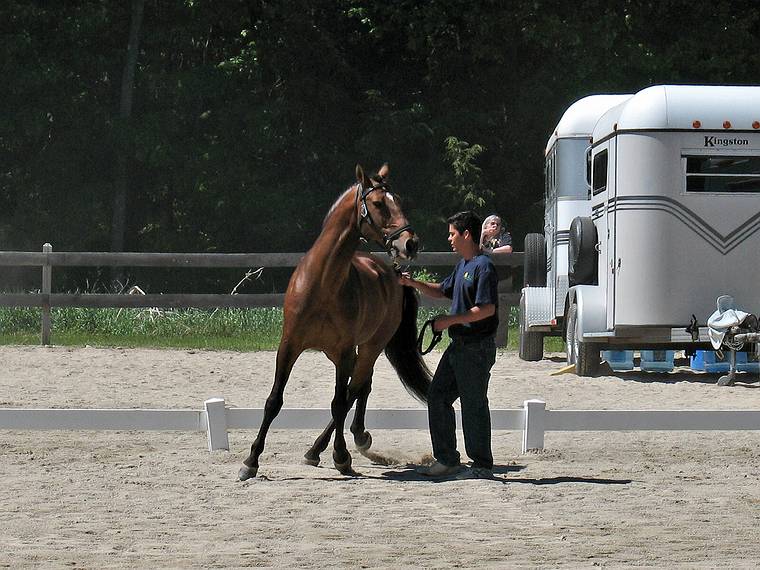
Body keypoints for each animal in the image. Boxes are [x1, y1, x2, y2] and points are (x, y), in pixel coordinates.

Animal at [242, 162, 434, 478]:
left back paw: (332, 445)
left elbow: (339, 402)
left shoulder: (345, 351)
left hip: (368, 347)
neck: (322, 284)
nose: (411, 243)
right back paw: (342, 441)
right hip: (342, 353)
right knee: (361, 386)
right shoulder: (289, 345)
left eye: (398, 201)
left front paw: (342, 456)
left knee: (354, 390)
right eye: (379, 203)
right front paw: (250, 461)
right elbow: (274, 401)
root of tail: (391, 273)